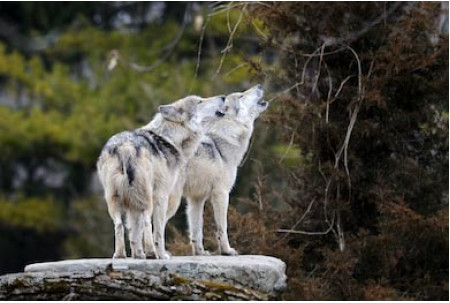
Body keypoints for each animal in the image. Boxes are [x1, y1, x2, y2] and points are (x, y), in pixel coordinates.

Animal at [97, 94, 225, 258]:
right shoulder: (162, 195)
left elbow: (134, 233)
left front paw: (138, 255)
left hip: (115, 201)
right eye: (199, 101)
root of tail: (126, 147)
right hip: (147, 199)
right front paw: (161, 254)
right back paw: (152, 254)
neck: (169, 138)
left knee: (119, 225)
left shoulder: (133, 205)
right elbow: (158, 231)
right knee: (147, 222)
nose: (223, 97)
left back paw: (120, 255)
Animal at [167, 85, 268, 256]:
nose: (260, 85)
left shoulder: (196, 199)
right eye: (241, 96)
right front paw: (227, 250)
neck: (223, 140)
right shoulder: (221, 194)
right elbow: (222, 228)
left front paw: (200, 253)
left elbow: (196, 230)